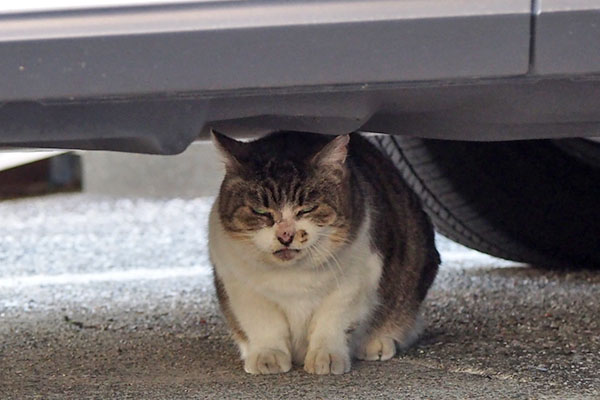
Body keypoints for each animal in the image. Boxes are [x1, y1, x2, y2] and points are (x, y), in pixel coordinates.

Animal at [209, 129, 438, 376]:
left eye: (307, 209)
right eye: (261, 211)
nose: (285, 235)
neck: (291, 278)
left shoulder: (355, 280)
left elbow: (332, 321)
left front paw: (326, 356)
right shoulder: (240, 286)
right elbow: (264, 323)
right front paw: (267, 356)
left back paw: (377, 342)